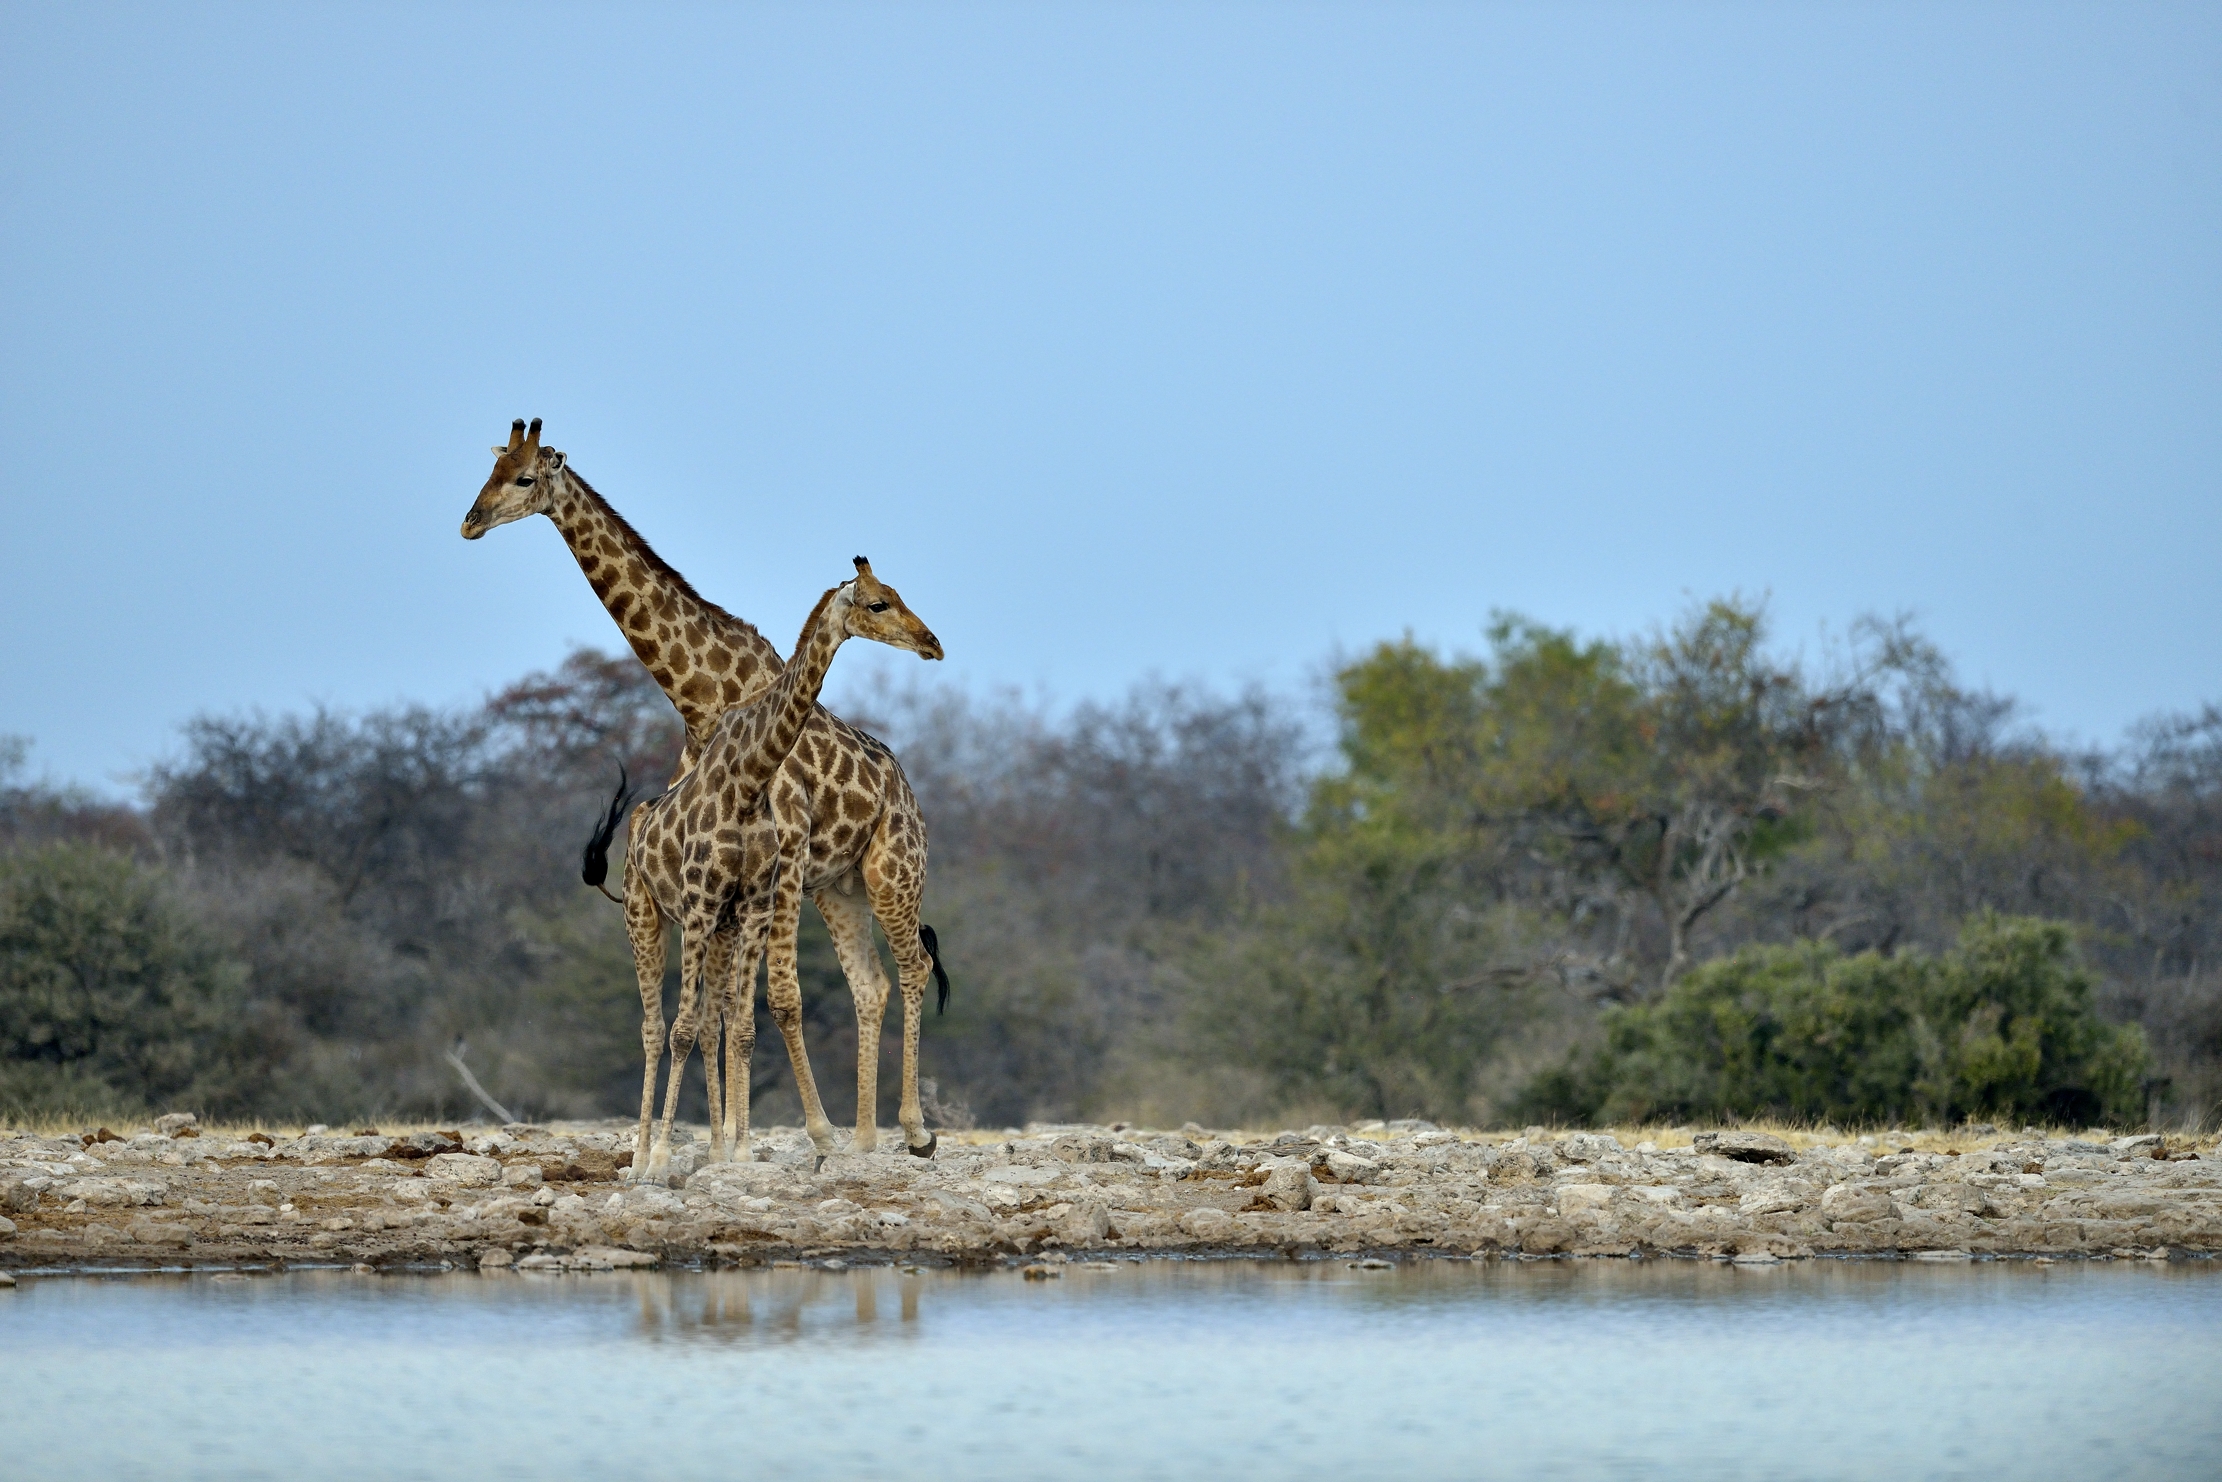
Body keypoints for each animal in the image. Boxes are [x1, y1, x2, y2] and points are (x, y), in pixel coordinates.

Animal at [614, 559, 942, 1183]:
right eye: (879, 602)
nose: (931, 642)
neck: (747, 776)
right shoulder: (706, 905)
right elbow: (698, 1024)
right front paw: (674, 1156)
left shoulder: (751, 901)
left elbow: (741, 1021)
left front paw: (740, 1152)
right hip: (648, 915)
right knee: (653, 1026)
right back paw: (643, 1156)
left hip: (881, 879)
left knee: (901, 971)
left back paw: (898, 1133)